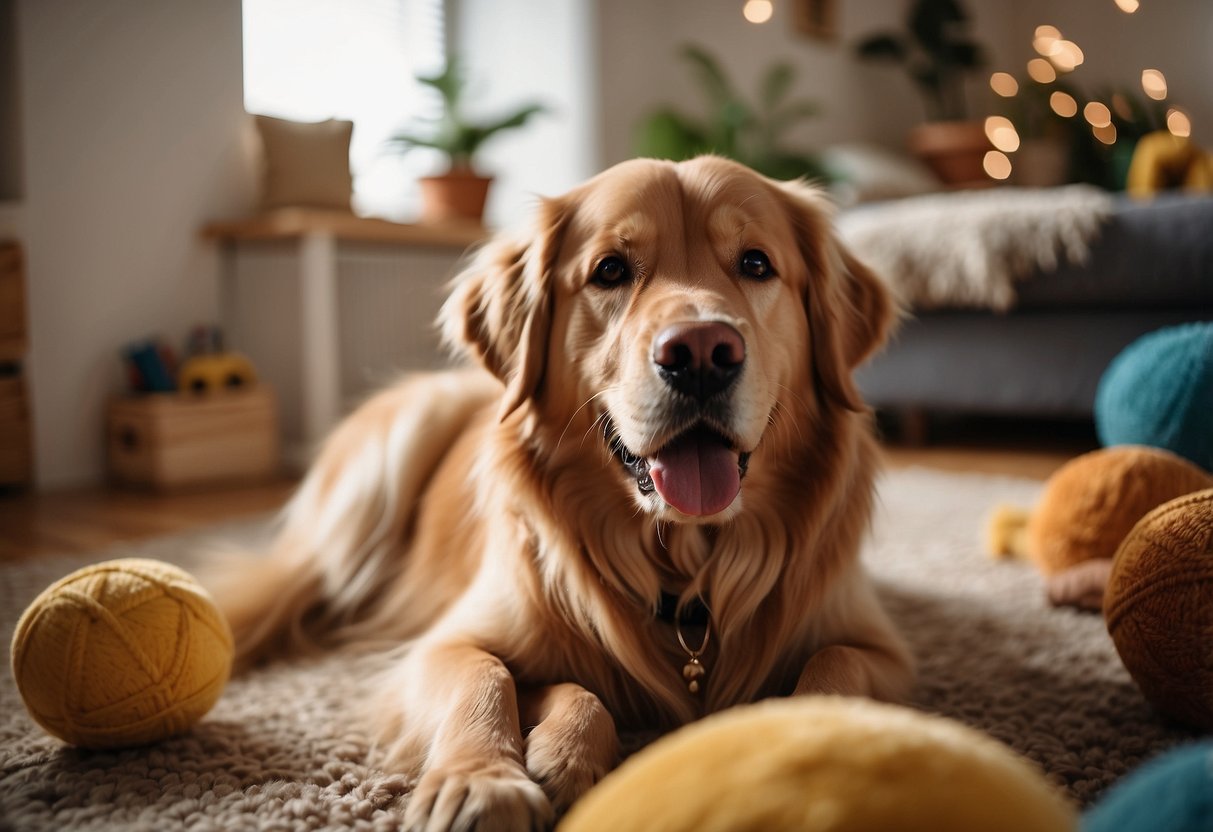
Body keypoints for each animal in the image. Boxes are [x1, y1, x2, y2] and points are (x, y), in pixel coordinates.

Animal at [215, 157, 912, 832]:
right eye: (610, 270)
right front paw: (486, 779)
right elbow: (489, 674)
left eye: (757, 264)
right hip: (393, 454)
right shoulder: (447, 641)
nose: (701, 352)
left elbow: (835, 668)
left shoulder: (881, 651)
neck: (682, 566)